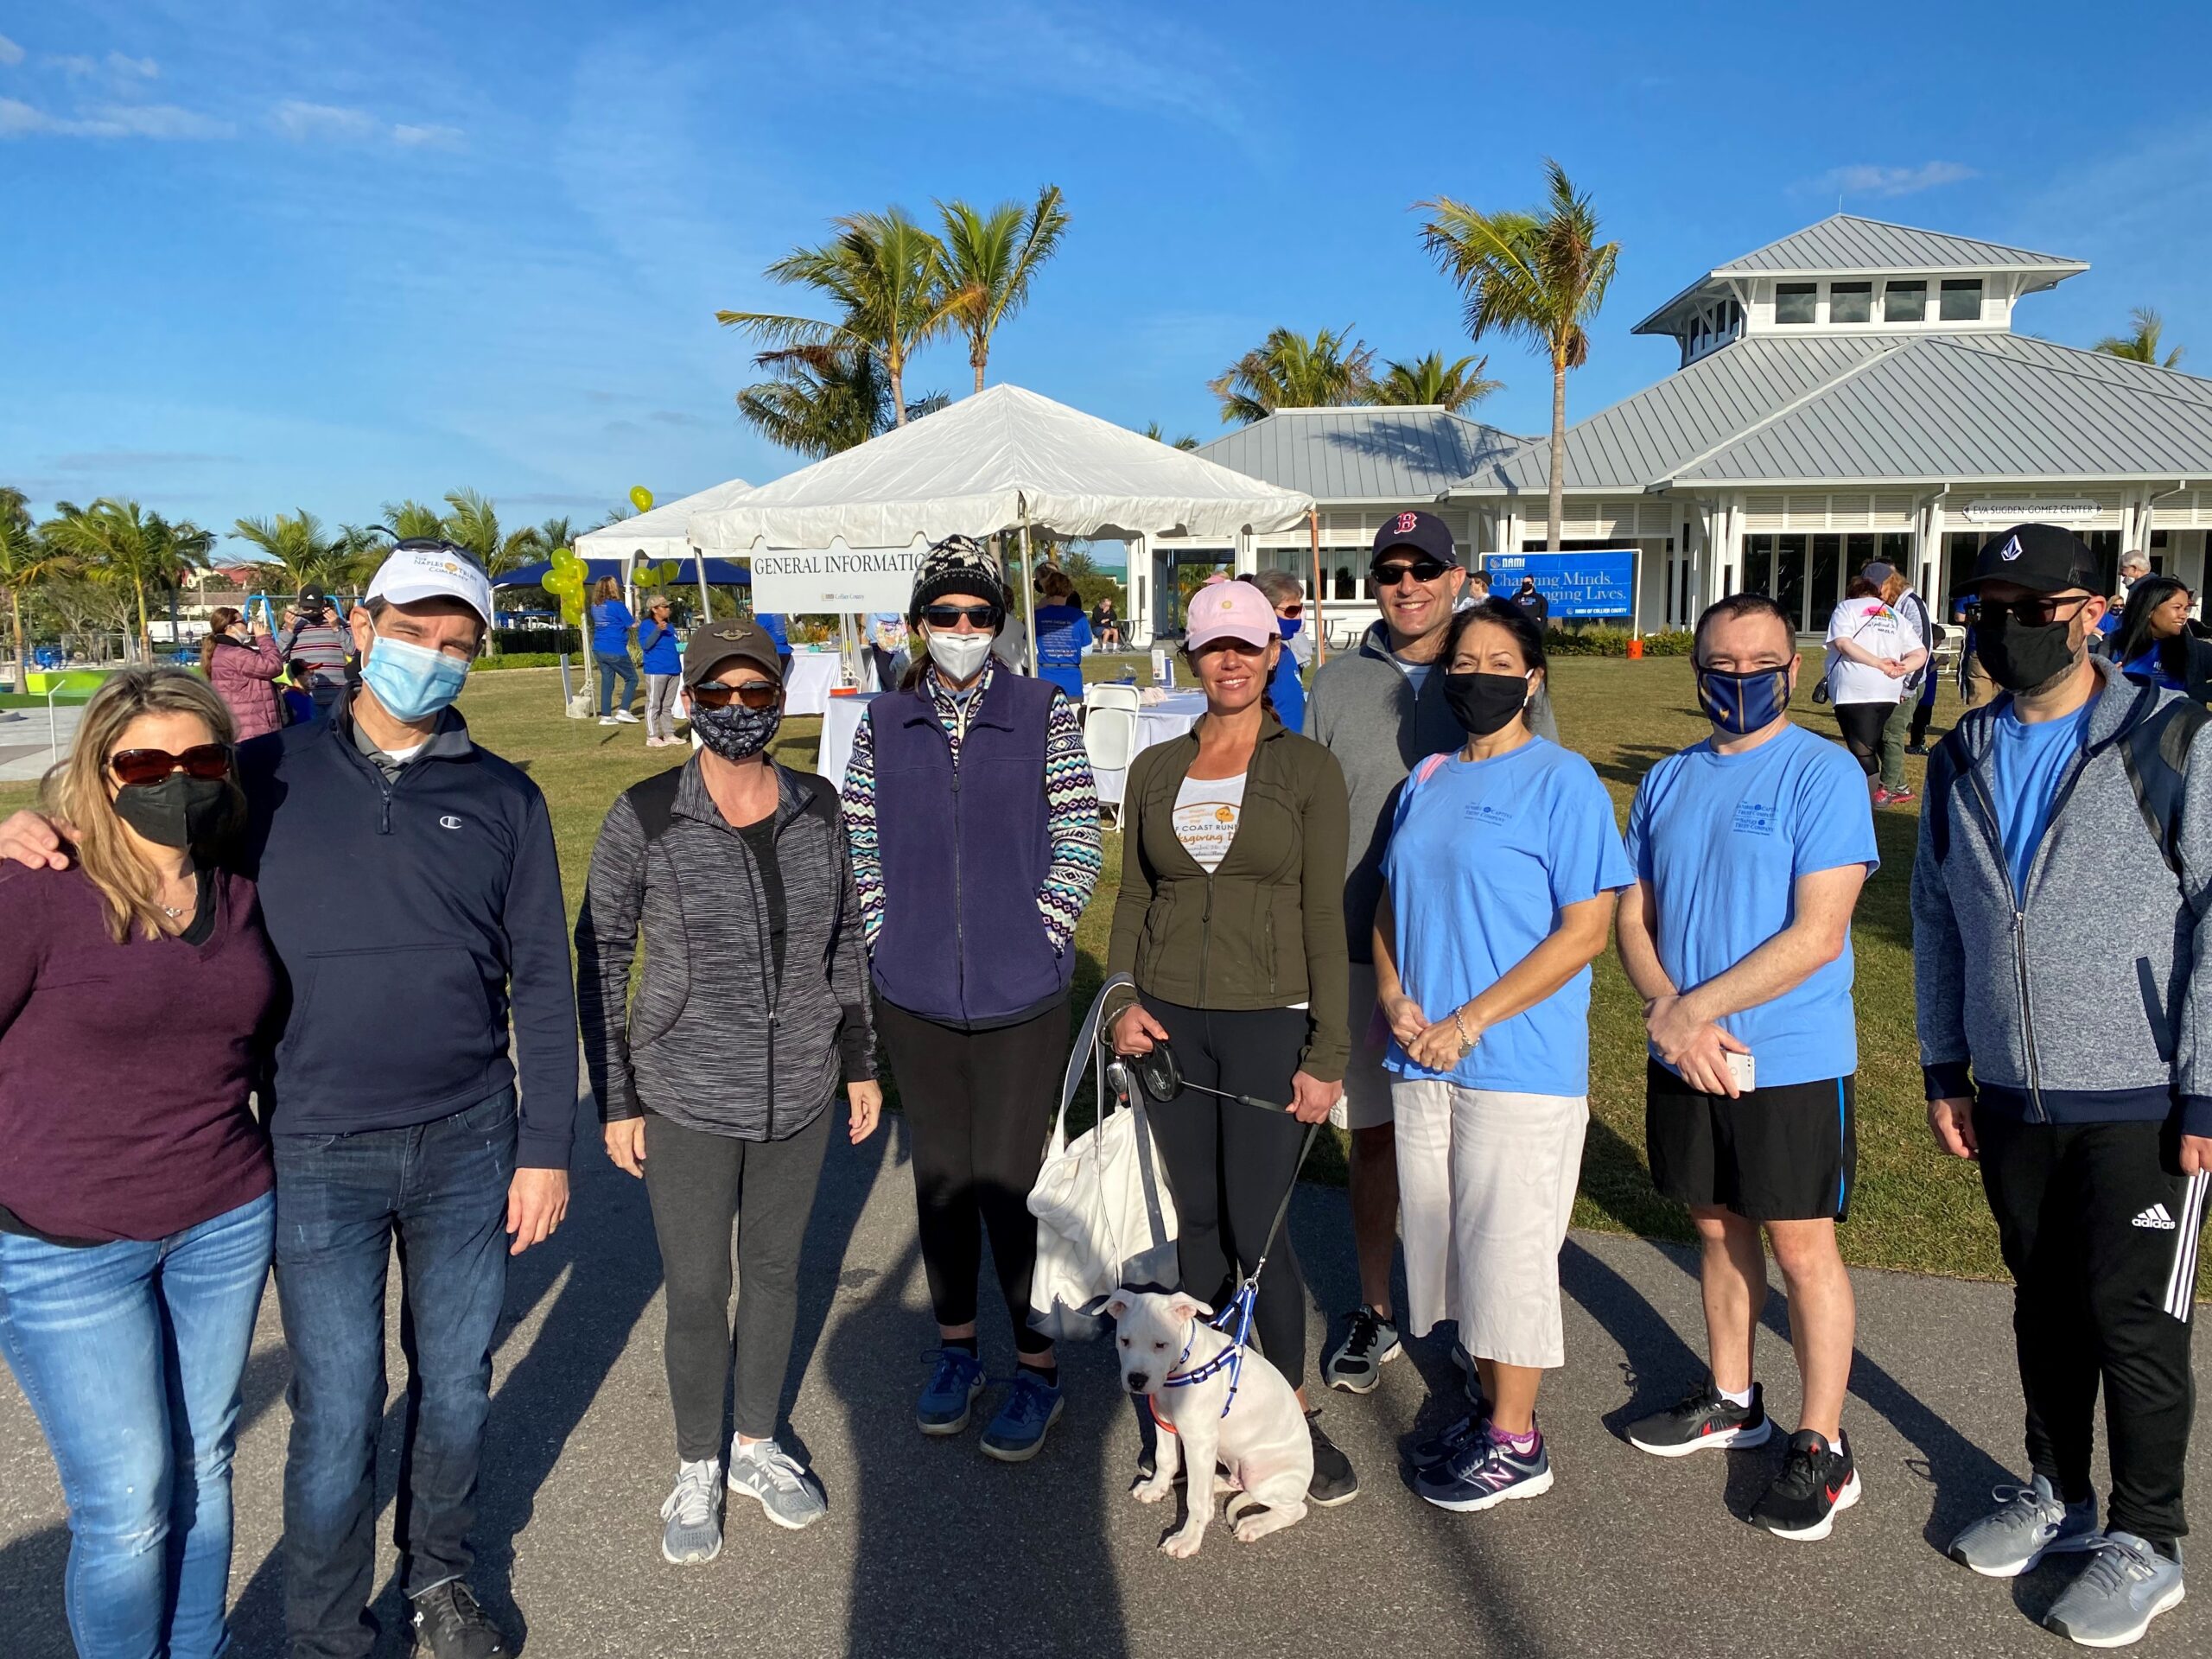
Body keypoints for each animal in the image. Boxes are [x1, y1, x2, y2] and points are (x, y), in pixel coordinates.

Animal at [1106, 1282, 1309, 1557]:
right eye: (1125, 1341)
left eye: (1161, 1345)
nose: (1136, 1380)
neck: (1182, 1365)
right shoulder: (1164, 1422)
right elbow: (1165, 1459)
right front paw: (1155, 1488)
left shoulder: (1199, 1442)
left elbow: (1195, 1500)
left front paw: (1188, 1539)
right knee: (1234, 1483)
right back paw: (1214, 1484)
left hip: (1260, 1473)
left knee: (1296, 1509)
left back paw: (1255, 1524)